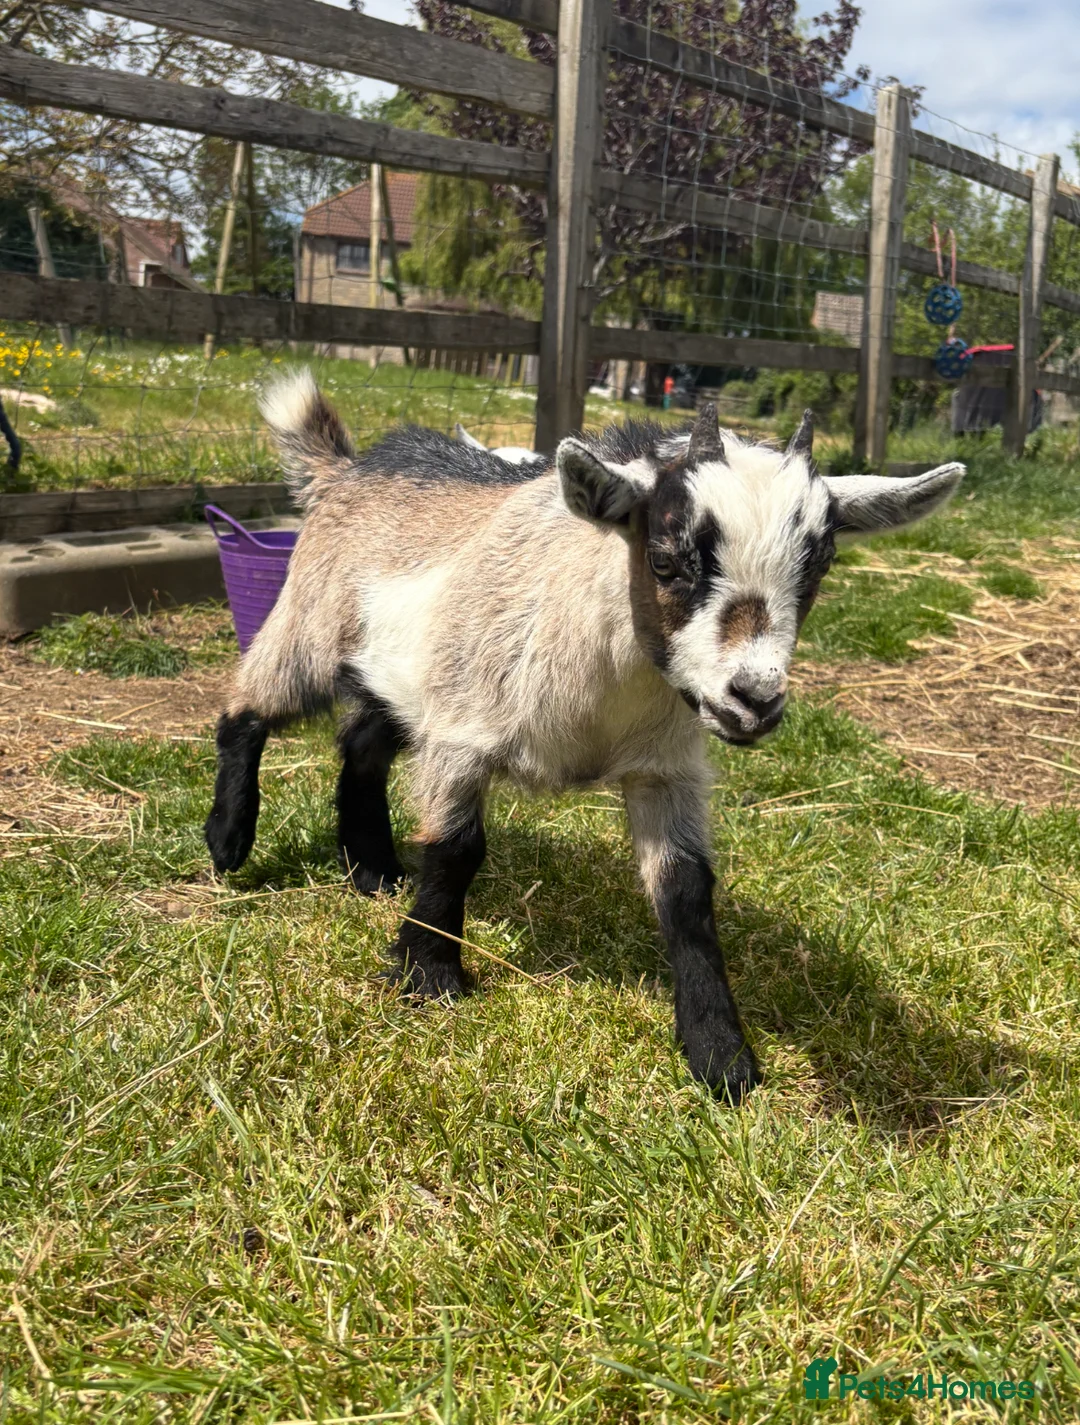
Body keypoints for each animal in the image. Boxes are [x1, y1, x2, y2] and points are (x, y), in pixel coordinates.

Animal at [206, 371, 963, 1101]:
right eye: (665, 560)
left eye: (818, 569)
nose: (754, 699)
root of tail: (347, 467)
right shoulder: (461, 733)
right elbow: (455, 851)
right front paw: (431, 975)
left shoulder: (665, 768)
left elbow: (686, 889)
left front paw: (721, 1055)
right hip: (312, 625)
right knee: (247, 707)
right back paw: (228, 839)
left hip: (398, 674)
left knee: (361, 748)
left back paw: (372, 870)